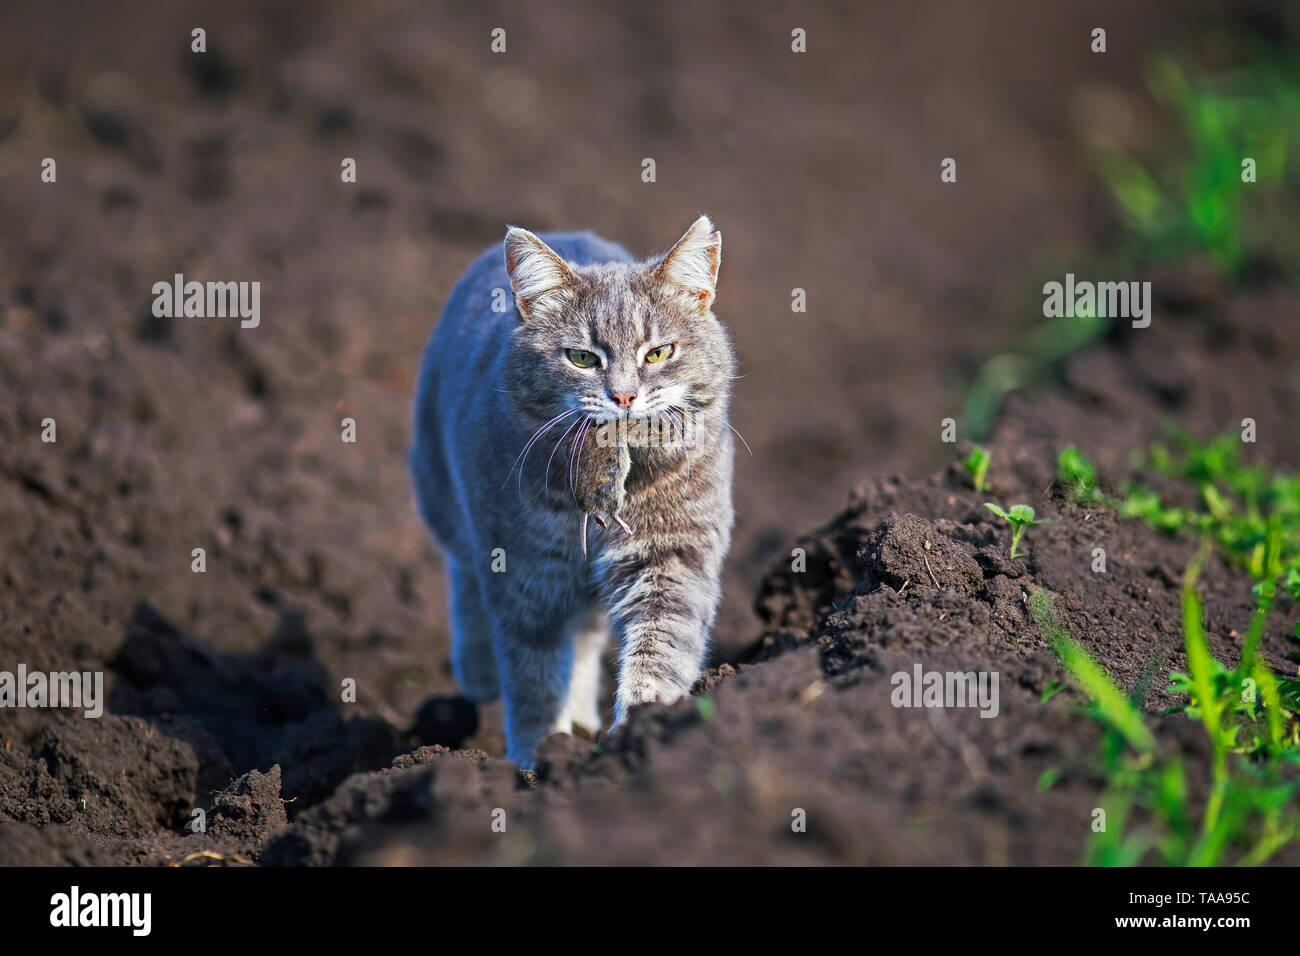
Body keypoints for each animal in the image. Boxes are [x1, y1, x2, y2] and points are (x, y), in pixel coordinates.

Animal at [408, 217, 733, 770]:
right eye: (582, 358)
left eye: (659, 353)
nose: (623, 396)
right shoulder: (524, 575)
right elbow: (534, 679)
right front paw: (536, 761)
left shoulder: (672, 555)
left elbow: (661, 645)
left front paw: (641, 726)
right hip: (440, 491)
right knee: (464, 579)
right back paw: (478, 673)